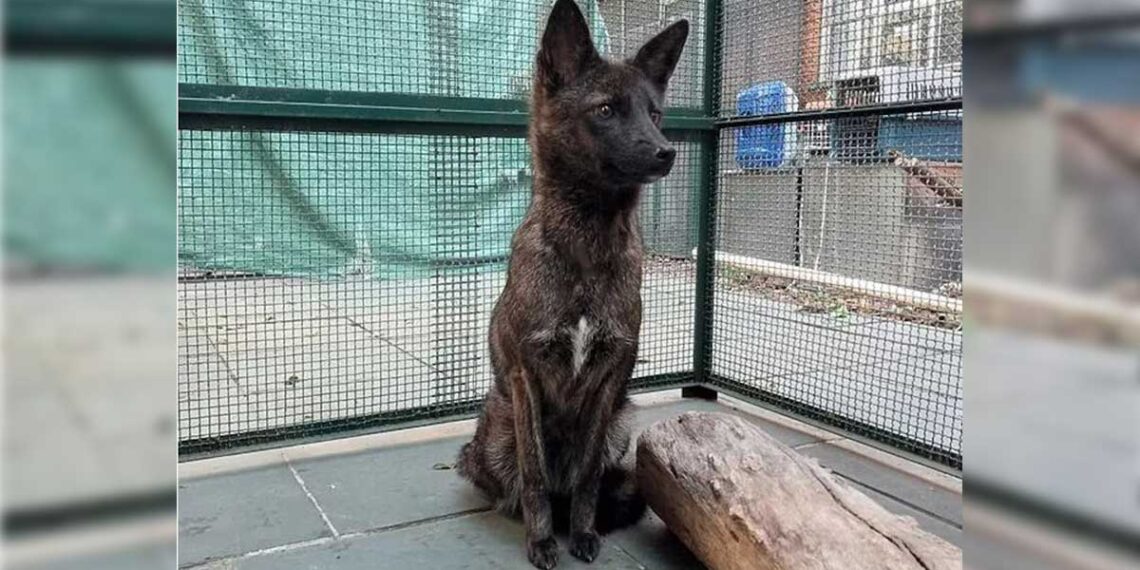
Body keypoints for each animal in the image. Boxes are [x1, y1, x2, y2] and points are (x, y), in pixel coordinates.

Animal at [456, 0, 688, 568]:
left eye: (654, 114)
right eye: (605, 110)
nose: (666, 152)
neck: (586, 245)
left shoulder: (609, 380)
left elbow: (585, 477)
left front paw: (582, 532)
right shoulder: (526, 376)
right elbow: (535, 474)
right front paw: (541, 540)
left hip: (622, 426)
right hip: (495, 422)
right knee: (507, 481)